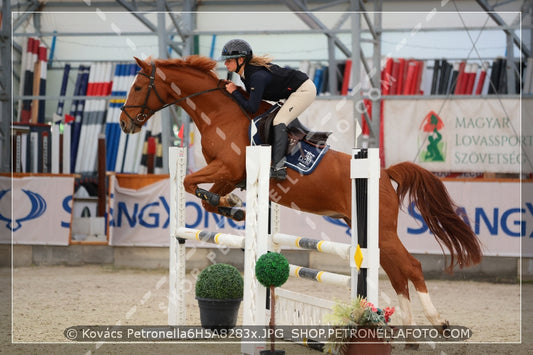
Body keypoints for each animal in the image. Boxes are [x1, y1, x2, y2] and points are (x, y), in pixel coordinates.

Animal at [119, 55, 482, 328]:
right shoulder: (231, 175)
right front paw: (233, 206)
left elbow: (191, 184)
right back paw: (407, 330)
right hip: (368, 229)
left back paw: (436, 321)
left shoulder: (229, 169)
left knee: (411, 267)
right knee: (396, 272)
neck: (220, 114)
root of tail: (383, 172)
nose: (125, 124)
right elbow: (202, 194)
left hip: (383, 229)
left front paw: (233, 207)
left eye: (137, 86)